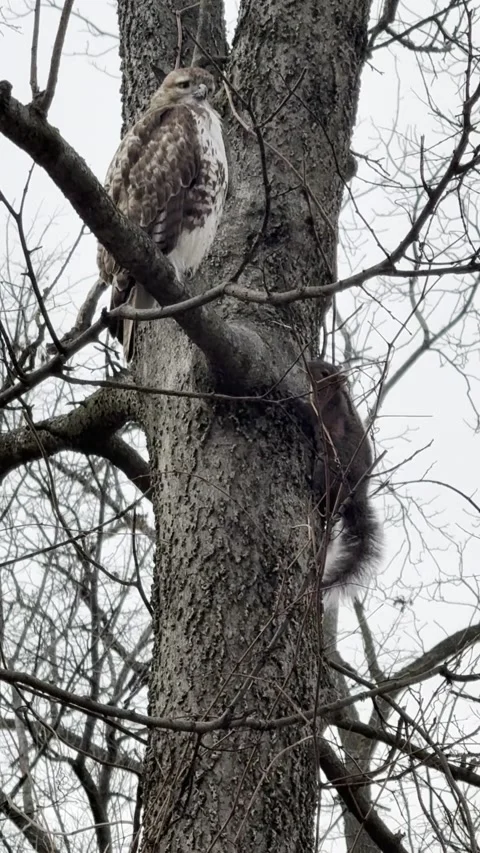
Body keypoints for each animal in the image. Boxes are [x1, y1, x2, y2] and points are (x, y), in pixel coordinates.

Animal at [307, 359, 381, 603]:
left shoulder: (326, 413)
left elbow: (310, 414)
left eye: (324, 373)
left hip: (330, 470)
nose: (306, 365)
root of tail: (358, 494)